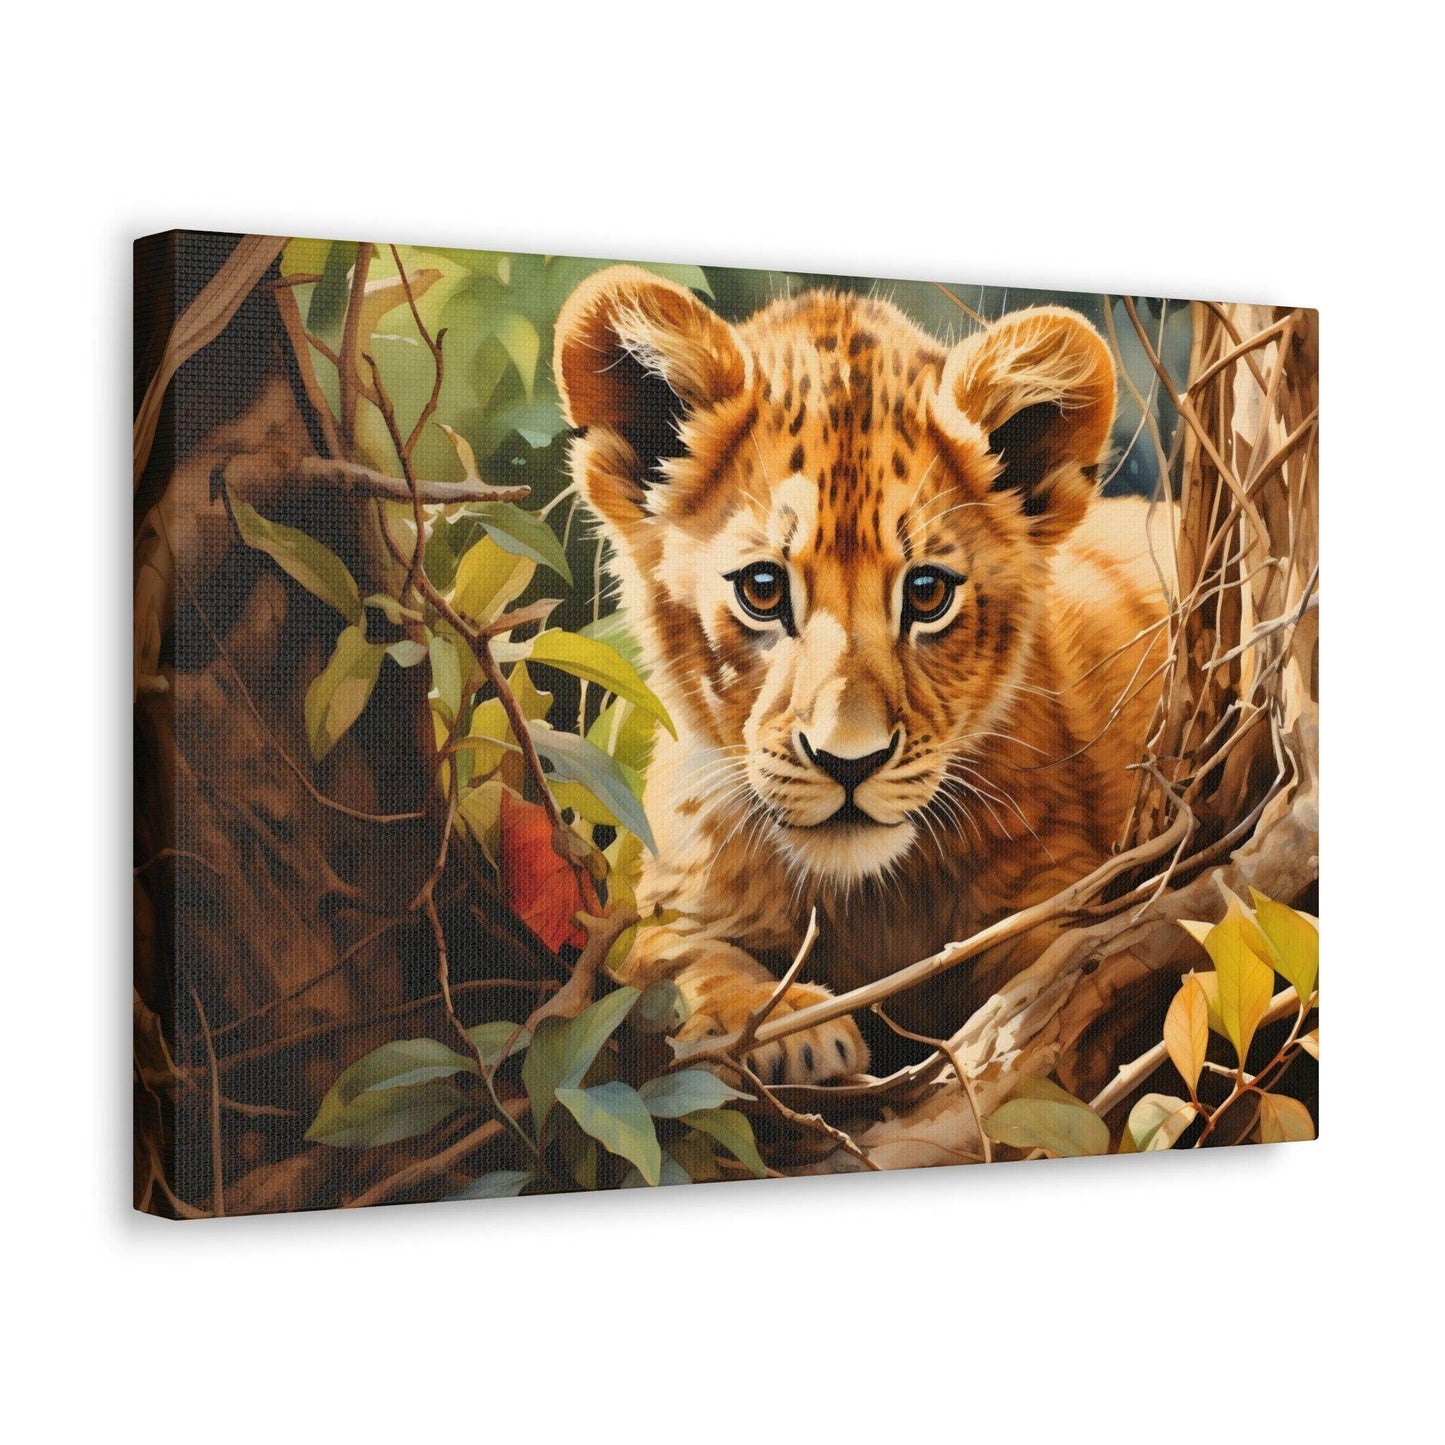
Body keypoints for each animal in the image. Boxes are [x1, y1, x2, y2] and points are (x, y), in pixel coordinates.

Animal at [554, 267, 1173, 1084]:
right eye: (761, 588)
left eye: (928, 592)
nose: (850, 761)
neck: (866, 901)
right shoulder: (666, 896)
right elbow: (666, 952)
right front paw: (784, 1025)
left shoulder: (1063, 891)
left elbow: (1068, 977)